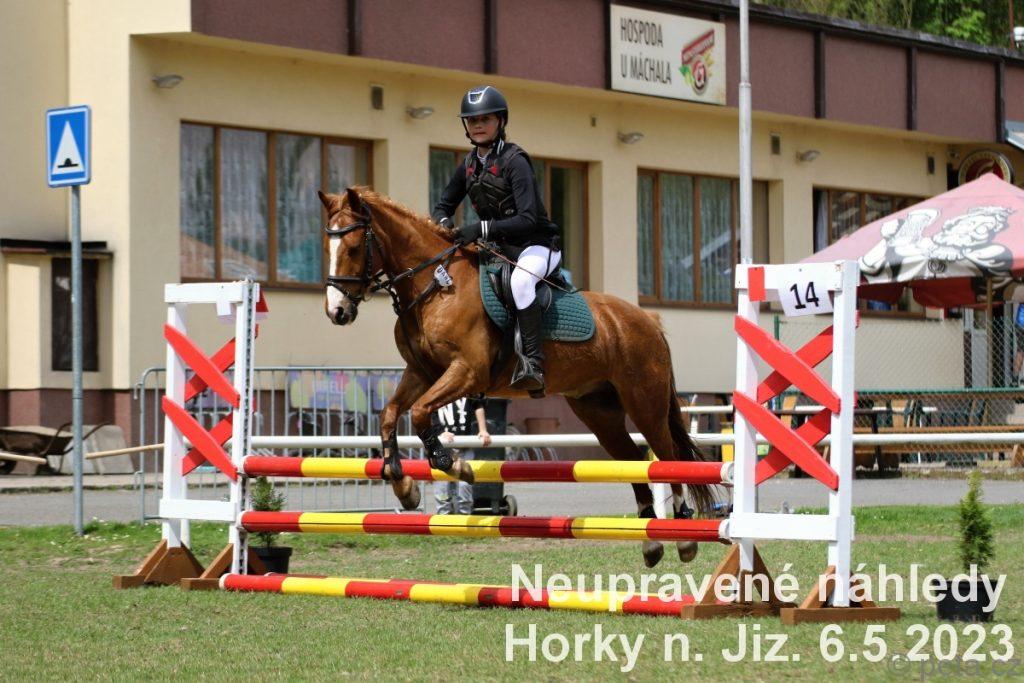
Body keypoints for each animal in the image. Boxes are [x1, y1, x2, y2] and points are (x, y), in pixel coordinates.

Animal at [320, 187, 717, 567]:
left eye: (352, 248)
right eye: (327, 246)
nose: (337, 311)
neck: (434, 286)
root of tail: (648, 321)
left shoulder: (467, 371)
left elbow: (418, 413)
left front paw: (454, 464)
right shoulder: (421, 373)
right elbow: (390, 414)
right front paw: (403, 485)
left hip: (644, 403)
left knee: (667, 456)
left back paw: (684, 536)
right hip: (598, 410)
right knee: (633, 459)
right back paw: (651, 542)